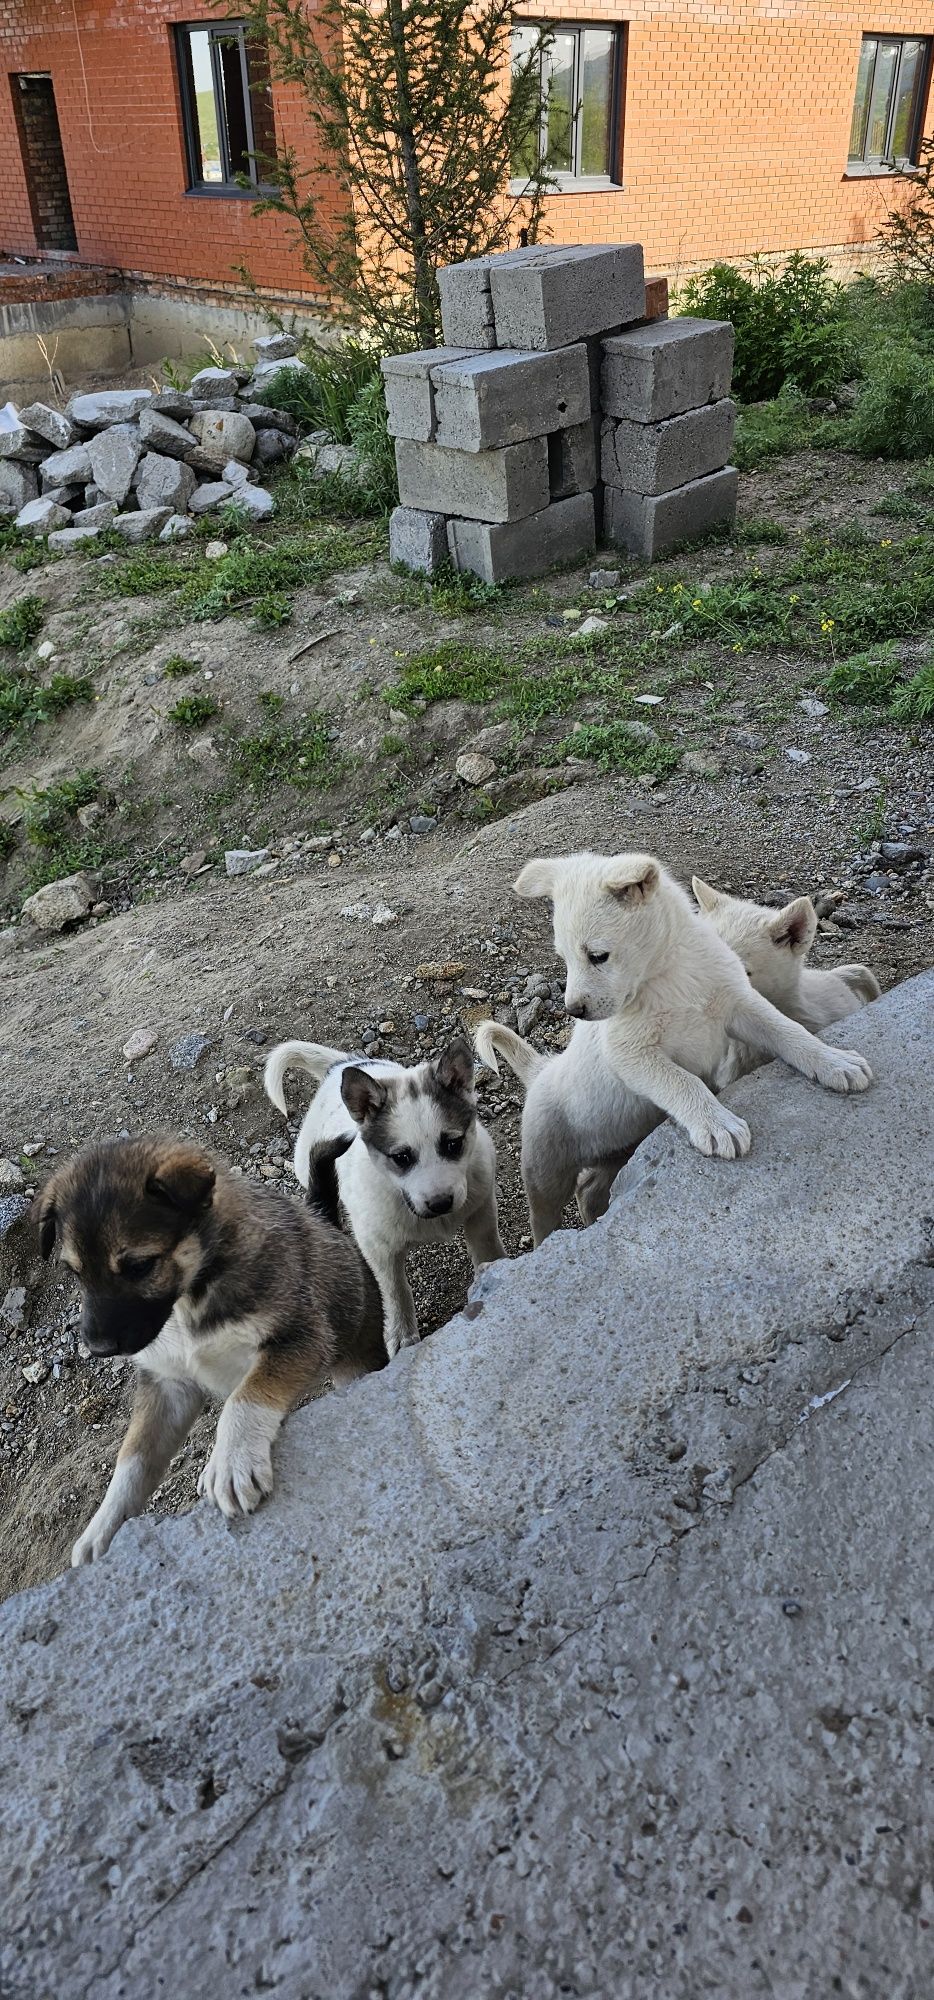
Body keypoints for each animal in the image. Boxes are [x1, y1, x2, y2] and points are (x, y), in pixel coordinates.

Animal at [36, 1136, 386, 1568]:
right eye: (74, 1272)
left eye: (140, 1266)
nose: (98, 1348)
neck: (190, 1299)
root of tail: (327, 1222)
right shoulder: (168, 1385)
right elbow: (133, 1458)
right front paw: (101, 1529)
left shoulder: (299, 1337)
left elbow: (247, 1397)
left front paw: (232, 1463)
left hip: (355, 1357)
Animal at [266, 1032, 508, 1360]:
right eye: (402, 1157)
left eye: (453, 1144)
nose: (441, 1203)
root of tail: (342, 1065)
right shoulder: (378, 1247)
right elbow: (394, 1290)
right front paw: (402, 1336)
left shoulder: (480, 1209)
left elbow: (487, 1250)